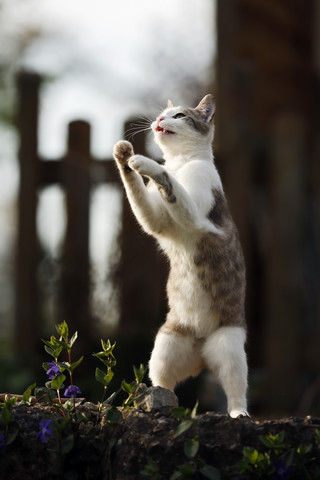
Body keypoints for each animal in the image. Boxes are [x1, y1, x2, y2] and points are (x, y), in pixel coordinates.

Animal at [114, 95, 249, 418]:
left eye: (179, 115)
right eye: (163, 114)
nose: (160, 121)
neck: (181, 163)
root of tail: (201, 355)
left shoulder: (196, 217)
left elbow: (168, 181)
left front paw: (143, 162)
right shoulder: (157, 220)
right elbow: (142, 195)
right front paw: (124, 156)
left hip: (230, 346)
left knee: (236, 391)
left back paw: (240, 414)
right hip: (165, 345)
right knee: (164, 384)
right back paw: (155, 401)